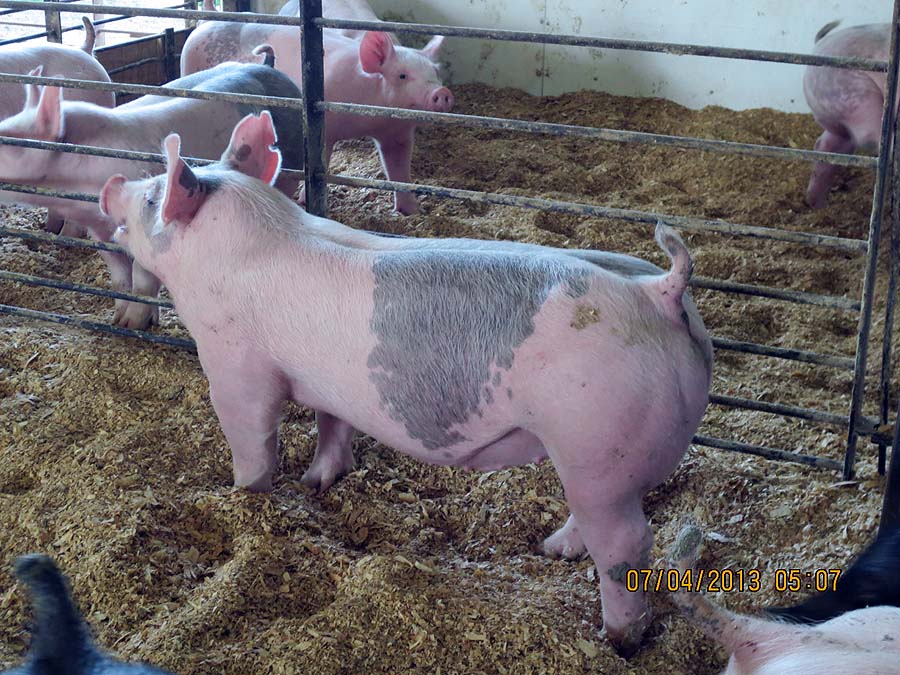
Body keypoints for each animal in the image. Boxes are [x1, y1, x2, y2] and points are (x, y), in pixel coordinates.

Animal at [0, 59, 303, 329]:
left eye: (8, 139)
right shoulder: (99, 231)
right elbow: (120, 276)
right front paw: (118, 321)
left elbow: (142, 277)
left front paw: (134, 324)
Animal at [101, 111, 713, 656]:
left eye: (154, 198)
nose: (112, 183)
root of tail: (659, 292)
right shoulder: (331, 384)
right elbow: (332, 426)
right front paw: (316, 483)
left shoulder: (234, 366)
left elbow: (252, 437)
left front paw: (246, 493)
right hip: (601, 459)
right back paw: (551, 549)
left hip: (597, 440)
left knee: (628, 543)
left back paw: (618, 638)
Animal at [180, 0, 452, 214]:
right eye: (402, 75)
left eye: (436, 73)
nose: (442, 93)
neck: (368, 122)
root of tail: (204, 23)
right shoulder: (325, 126)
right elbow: (321, 163)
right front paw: (304, 201)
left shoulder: (397, 134)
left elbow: (399, 173)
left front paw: (412, 211)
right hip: (188, 64)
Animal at [803, 21, 890, 209]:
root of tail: (818, 46)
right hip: (854, 93)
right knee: (867, 137)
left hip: (836, 114)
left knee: (826, 147)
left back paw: (816, 205)